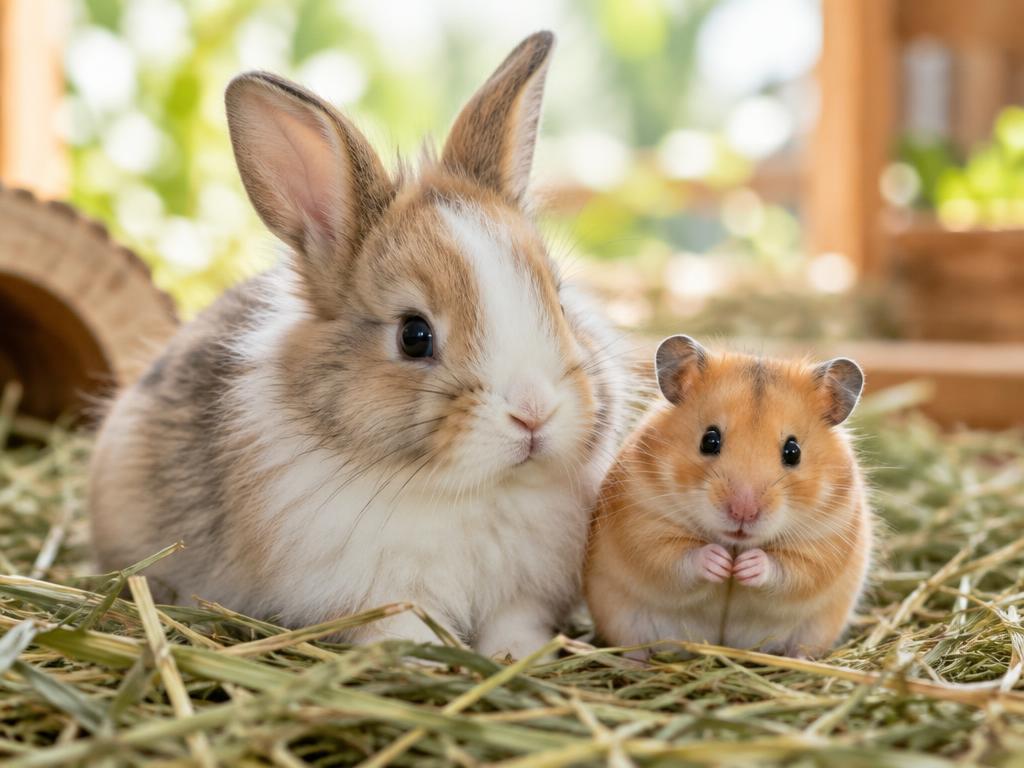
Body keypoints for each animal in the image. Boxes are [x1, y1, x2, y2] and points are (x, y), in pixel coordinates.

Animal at [89, 31, 628, 659]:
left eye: (559, 302)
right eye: (414, 335)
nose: (534, 414)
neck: (475, 491)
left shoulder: (520, 596)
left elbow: (513, 630)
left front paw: (514, 658)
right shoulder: (389, 594)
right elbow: (404, 629)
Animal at [584, 335, 871, 658]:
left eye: (793, 451)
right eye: (710, 440)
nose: (743, 513)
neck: (736, 544)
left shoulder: (824, 545)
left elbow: (789, 570)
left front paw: (745, 566)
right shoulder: (643, 523)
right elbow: (675, 556)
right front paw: (721, 562)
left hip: (816, 630)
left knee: (802, 650)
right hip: (621, 616)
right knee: (632, 647)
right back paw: (634, 663)